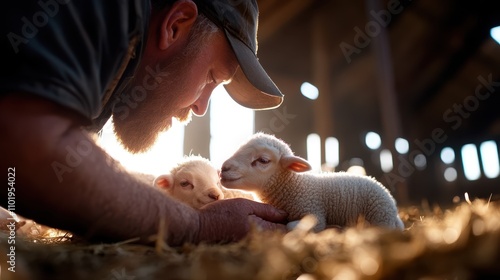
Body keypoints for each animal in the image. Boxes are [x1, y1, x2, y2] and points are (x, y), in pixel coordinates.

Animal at [221, 132, 404, 231]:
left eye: (263, 160)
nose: (224, 168)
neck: (296, 186)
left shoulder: (315, 214)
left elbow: (291, 226)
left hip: (380, 217)